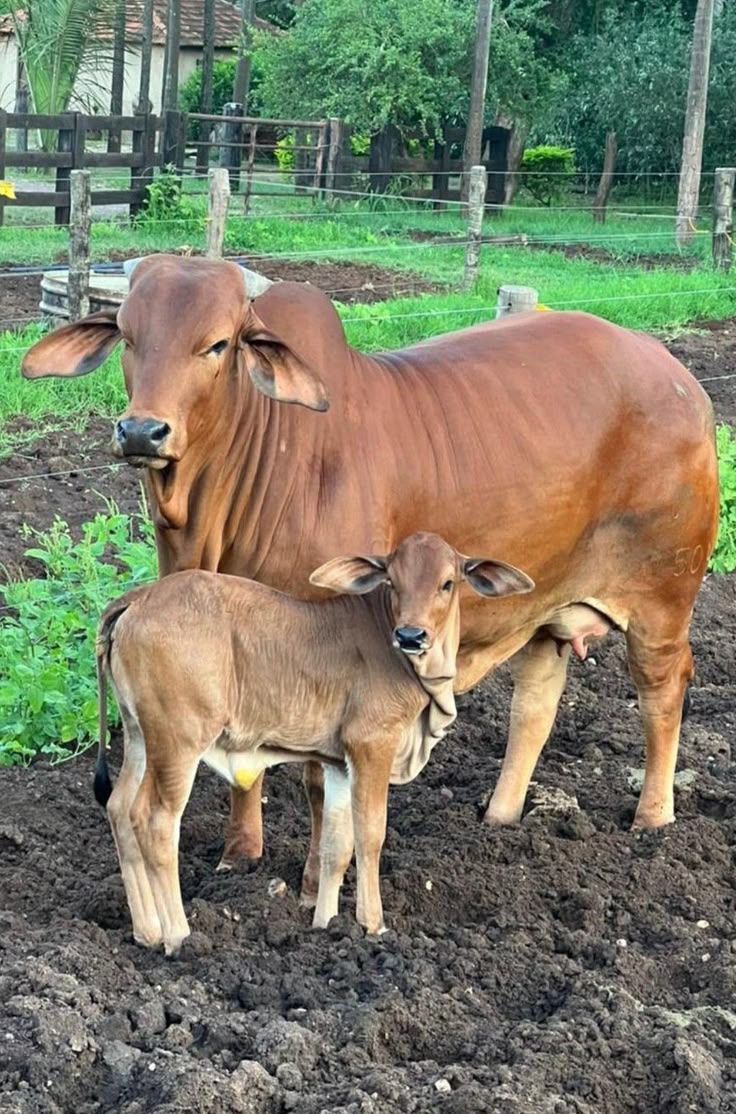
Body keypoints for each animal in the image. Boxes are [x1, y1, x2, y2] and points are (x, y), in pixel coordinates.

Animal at [21, 253, 719, 898]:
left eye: (217, 344)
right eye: (129, 338)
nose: (142, 431)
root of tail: (678, 375)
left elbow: (314, 780)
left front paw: (312, 882)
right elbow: (247, 764)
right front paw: (239, 855)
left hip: (663, 596)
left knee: (663, 690)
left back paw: (652, 819)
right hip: (544, 607)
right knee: (536, 704)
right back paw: (499, 817)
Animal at [93, 531, 534, 954]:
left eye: (447, 583)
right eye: (392, 581)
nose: (411, 635)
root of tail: (138, 598)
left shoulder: (338, 764)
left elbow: (335, 847)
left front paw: (327, 924)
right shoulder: (372, 745)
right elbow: (370, 835)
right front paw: (372, 925)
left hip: (138, 735)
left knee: (119, 808)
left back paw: (148, 932)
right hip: (178, 741)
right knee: (155, 820)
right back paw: (178, 936)